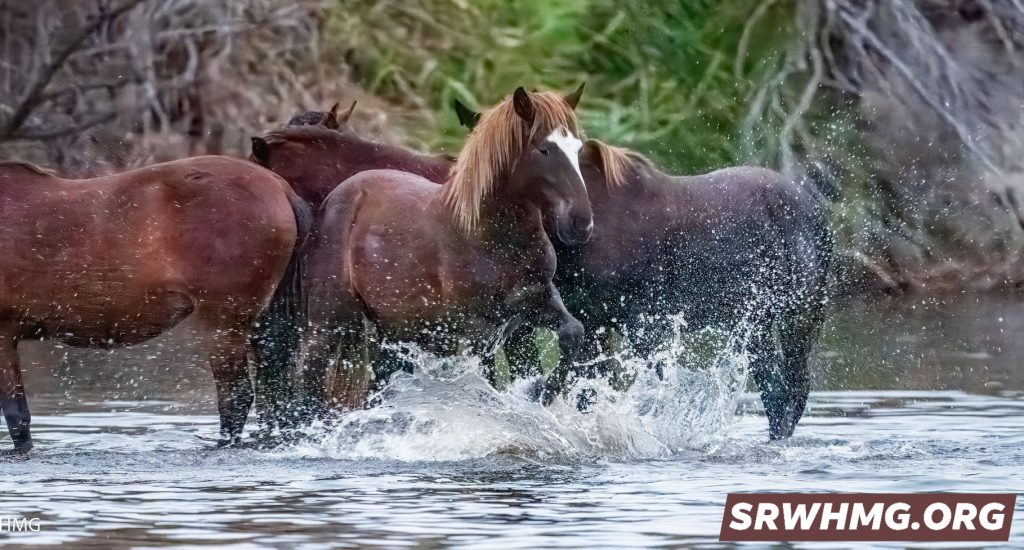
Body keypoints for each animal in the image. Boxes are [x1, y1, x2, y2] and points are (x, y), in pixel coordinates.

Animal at [257, 87, 592, 423]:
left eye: (578, 149)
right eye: (544, 150)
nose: (580, 223)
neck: (489, 236)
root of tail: (340, 195)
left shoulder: (536, 302)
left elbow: (574, 333)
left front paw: (542, 392)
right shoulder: (478, 329)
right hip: (328, 321)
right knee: (307, 377)